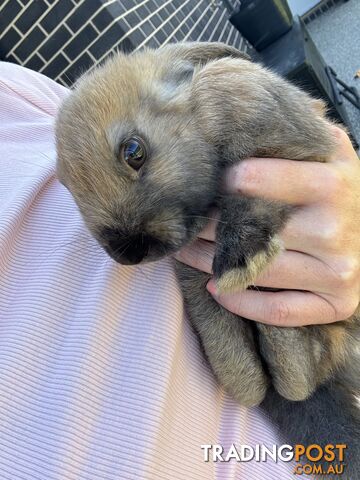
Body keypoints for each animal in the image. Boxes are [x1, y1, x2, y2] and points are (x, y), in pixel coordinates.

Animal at [55, 42, 360, 476]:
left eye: (133, 150)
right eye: (68, 185)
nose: (128, 252)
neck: (200, 119)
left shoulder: (285, 146)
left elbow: (253, 193)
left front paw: (240, 261)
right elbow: (208, 301)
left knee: (297, 380)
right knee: (275, 386)